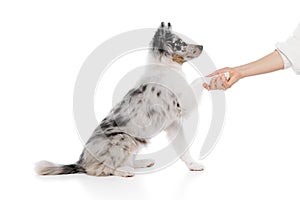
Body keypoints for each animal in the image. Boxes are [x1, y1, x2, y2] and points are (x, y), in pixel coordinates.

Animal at [35, 22, 204, 177]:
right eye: (181, 44)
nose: (202, 46)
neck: (164, 66)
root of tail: (81, 162)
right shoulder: (180, 106)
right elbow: (198, 82)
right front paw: (208, 76)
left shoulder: (174, 123)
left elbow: (184, 149)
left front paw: (193, 165)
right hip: (124, 137)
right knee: (101, 168)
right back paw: (125, 171)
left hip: (137, 139)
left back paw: (142, 162)